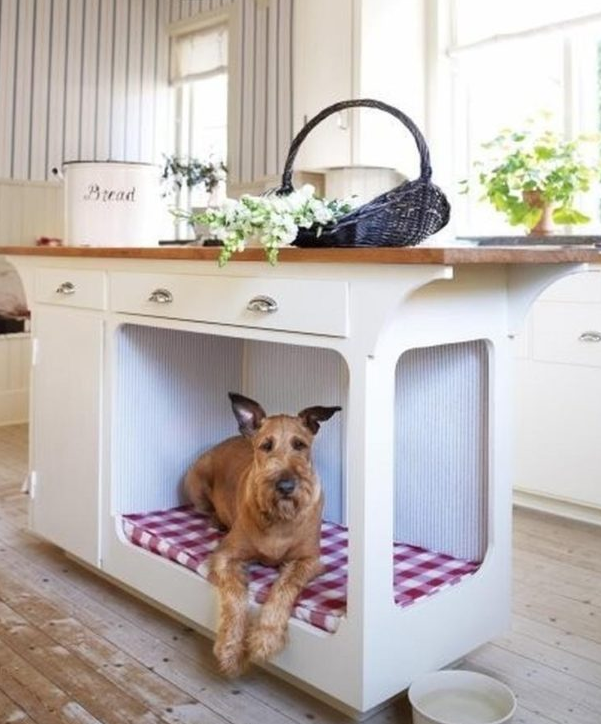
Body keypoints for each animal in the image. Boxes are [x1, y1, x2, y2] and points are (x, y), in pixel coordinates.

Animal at [185, 394, 340, 676]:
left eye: (300, 445)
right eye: (266, 446)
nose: (286, 486)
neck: (280, 518)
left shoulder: (309, 560)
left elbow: (285, 587)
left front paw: (266, 639)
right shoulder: (225, 556)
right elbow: (235, 596)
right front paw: (230, 649)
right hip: (195, 482)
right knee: (206, 508)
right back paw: (217, 520)